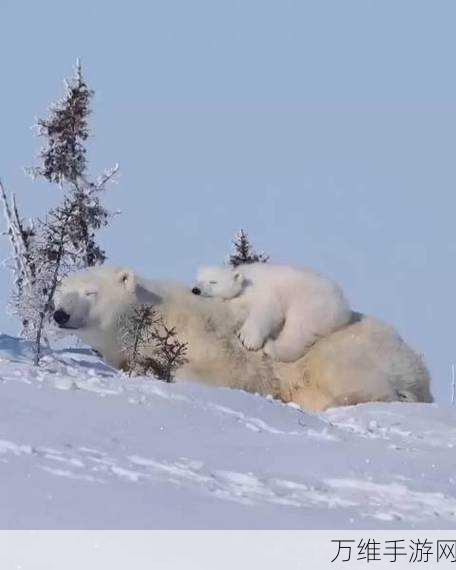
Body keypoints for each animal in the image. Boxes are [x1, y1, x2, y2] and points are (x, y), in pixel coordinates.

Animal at [191, 262, 350, 360]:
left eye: (213, 281)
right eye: (197, 280)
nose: (196, 290)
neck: (245, 279)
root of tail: (342, 305)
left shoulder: (264, 291)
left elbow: (266, 311)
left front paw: (247, 339)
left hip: (311, 303)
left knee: (298, 328)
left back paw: (272, 347)